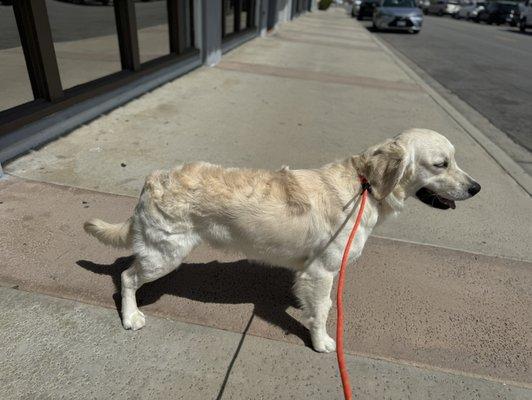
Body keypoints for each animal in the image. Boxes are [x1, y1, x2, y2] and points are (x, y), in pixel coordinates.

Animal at [85, 129, 480, 354]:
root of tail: (152, 179)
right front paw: (321, 343)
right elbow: (323, 311)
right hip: (165, 253)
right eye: (441, 164)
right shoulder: (321, 272)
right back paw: (131, 315)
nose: (476, 187)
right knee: (127, 277)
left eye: (455, 160)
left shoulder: (308, 273)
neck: (365, 185)